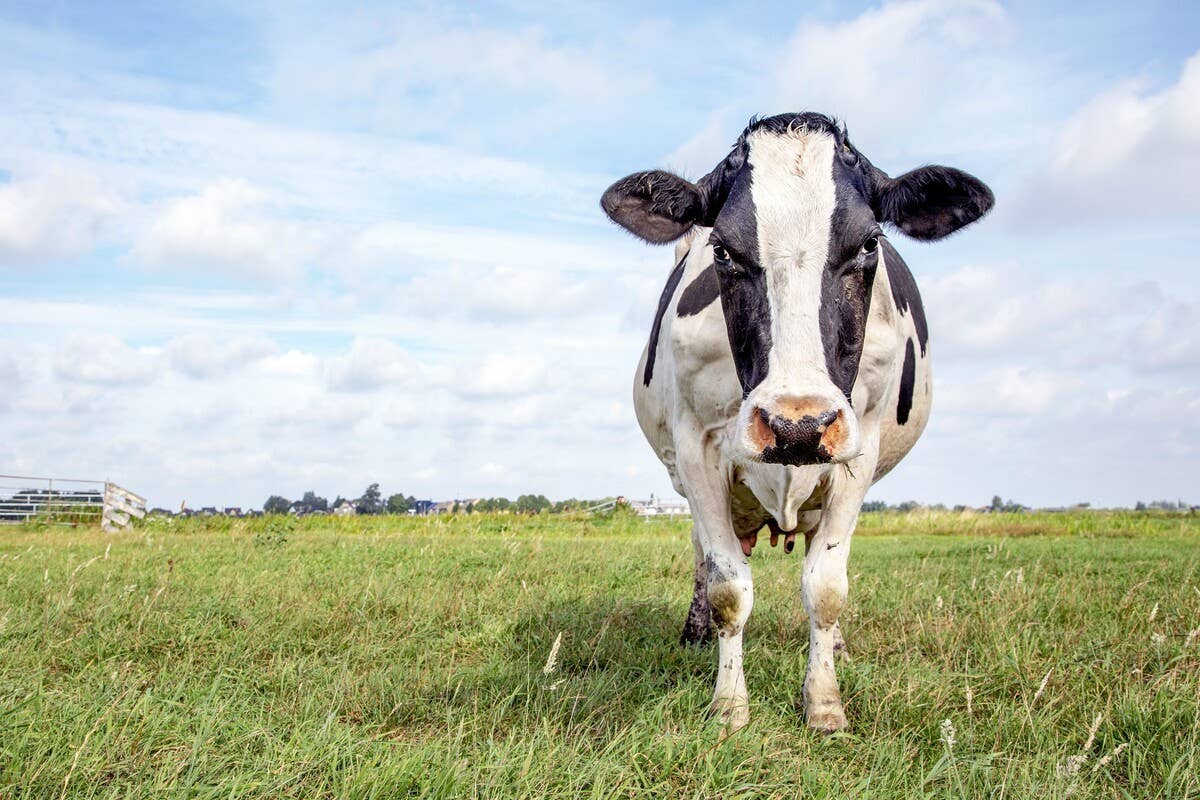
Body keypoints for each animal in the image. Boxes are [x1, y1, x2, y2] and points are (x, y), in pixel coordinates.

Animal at [600, 112, 993, 734]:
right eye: (723, 250)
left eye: (869, 242)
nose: (796, 426)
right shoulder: (696, 447)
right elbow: (728, 587)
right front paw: (729, 705)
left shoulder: (859, 448)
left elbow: (826, 587)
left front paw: (824, 703)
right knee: (703, 551)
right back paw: (695, 631)